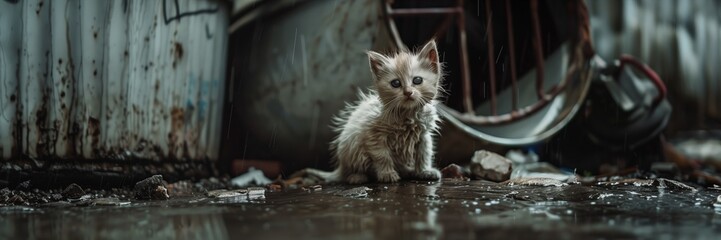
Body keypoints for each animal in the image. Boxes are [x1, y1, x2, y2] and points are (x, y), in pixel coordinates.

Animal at [300, 40, 442, 185]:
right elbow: (383, 157)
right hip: (354, 145)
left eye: (417, 80)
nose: (408, 92)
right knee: (350, 172)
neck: (407, 114)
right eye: (396, 83)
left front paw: (424, 171)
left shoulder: (424, 136)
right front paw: (387, 174)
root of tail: (340, 167)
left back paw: (409, 171)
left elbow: (424, 154)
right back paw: (357, 177)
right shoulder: (373, 136)